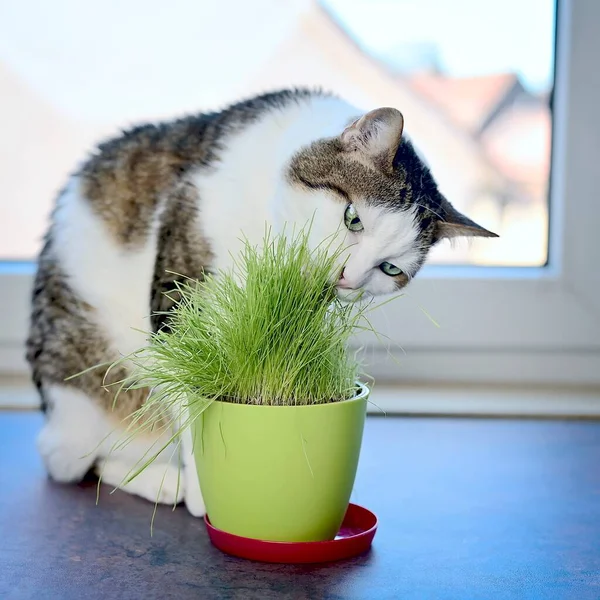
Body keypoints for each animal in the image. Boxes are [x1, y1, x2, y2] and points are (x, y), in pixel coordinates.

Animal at [25, 89, 496, 516]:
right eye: (353, 218)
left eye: (390, 269)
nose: (349, 278)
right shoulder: (181, 293)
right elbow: (193, 395)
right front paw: (206, 497)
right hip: (88, 389)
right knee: (76, 461)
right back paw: (162, 482)